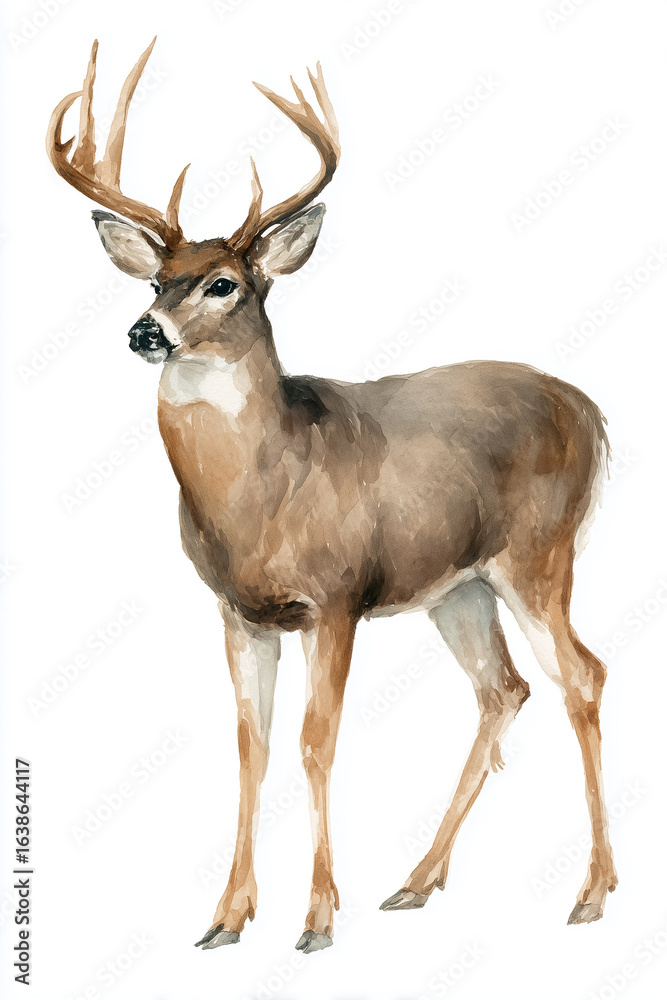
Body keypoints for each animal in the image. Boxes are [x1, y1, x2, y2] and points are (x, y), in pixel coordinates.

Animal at [47, 39, 617, 954]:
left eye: (223, 284)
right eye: (154, 282)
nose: (144, 334)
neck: (261, 494)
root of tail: (591, 412)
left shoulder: (338, 596)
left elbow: (316, 742)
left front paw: (315, 920)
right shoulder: (238, 610)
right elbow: (251, 747)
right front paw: (225, 918)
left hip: (539, 554)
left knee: (582, 676)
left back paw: (591, 892)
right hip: (457, 587)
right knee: (504, 689)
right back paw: (414, 883)